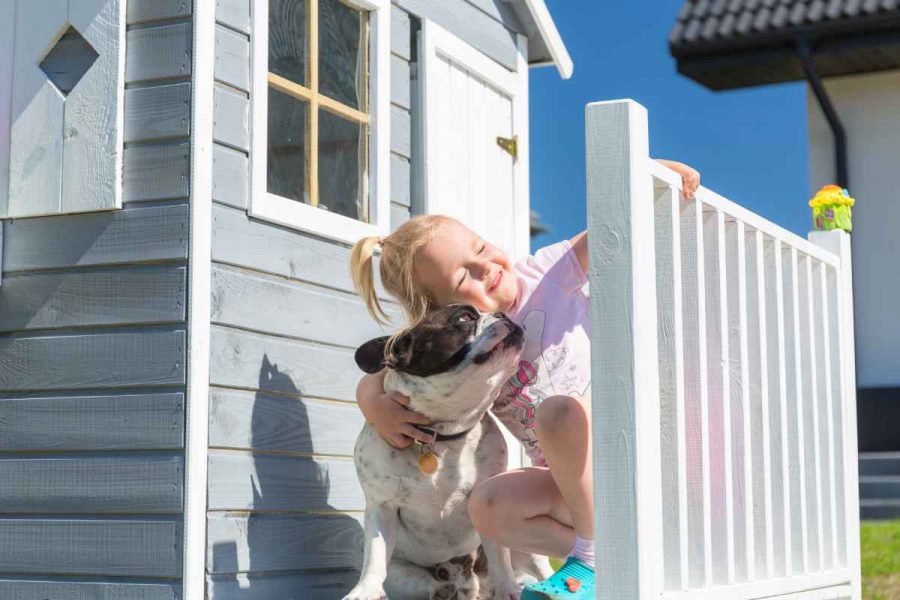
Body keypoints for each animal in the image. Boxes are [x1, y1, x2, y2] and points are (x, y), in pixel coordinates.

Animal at [342, 308, 532, 596]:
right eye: (464, 318)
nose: (503, 313)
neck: (440, 436)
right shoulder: (381, 507)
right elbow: (375, 557)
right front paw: (365, 591)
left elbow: (500, 556)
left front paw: (508, 589)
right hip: (402, 571)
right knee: (429, 583)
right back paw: (445, 587)